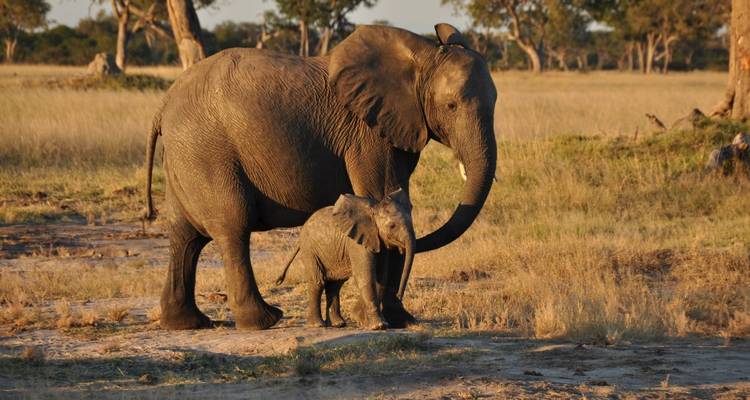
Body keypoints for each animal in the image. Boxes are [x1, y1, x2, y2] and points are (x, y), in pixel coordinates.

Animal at [274, 190, 415, 330]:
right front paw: (379, 326)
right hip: (310, 250)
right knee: (318, 281)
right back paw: (317, 325)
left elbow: (381, 277)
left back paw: (338, 324)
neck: (374, 209)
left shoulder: (379, 242)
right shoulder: (357, 243)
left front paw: (366, 322)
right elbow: (366, 276)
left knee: (335, 285)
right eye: (392, 226)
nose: (399, 296)